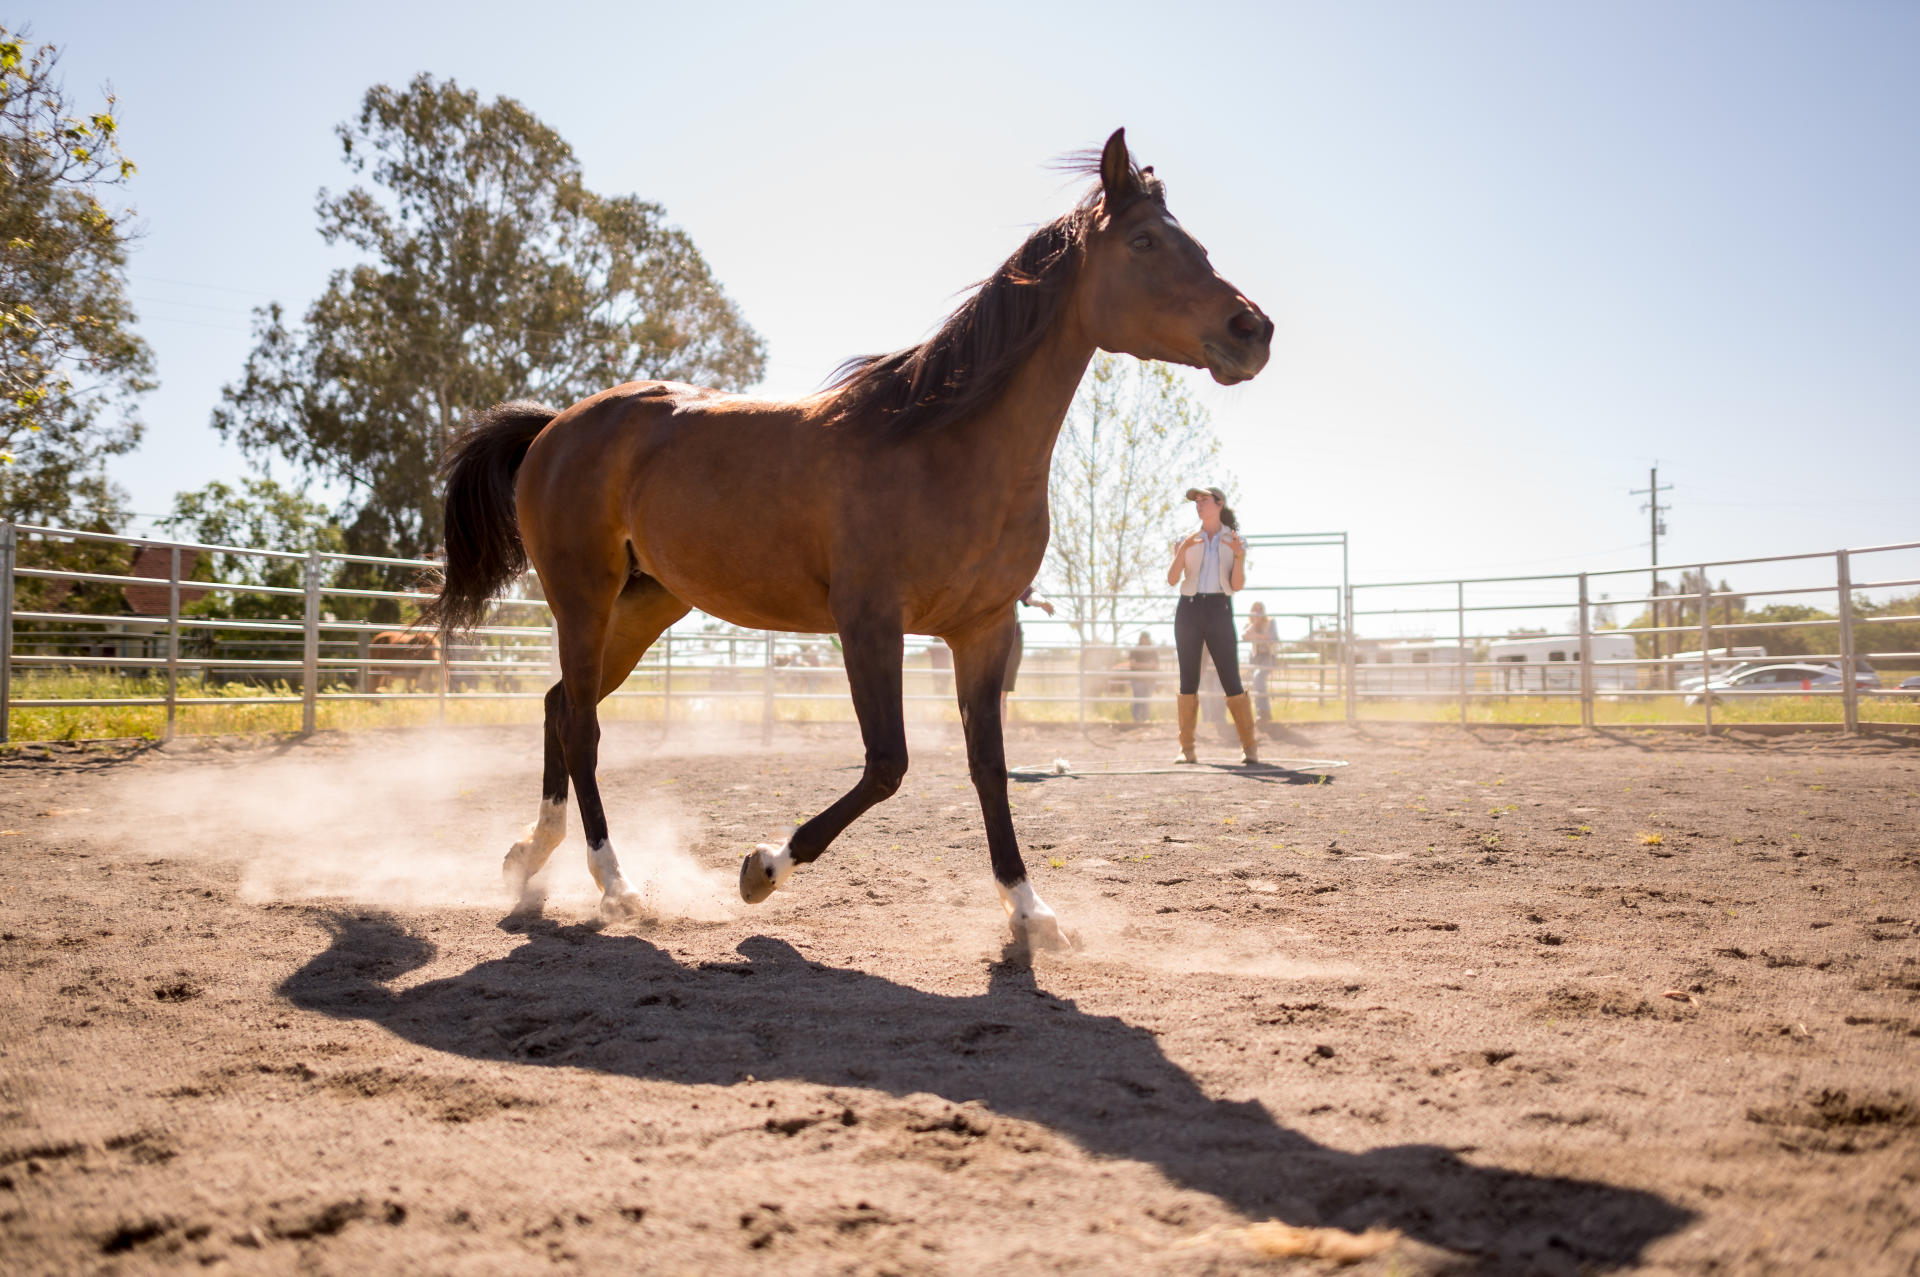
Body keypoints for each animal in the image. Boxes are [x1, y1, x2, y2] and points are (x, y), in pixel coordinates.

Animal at [435, 131, 1274, 944]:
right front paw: (763, 868)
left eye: (1191, 240)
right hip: (583, 597)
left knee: (557, 705)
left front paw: (1029, 910)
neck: (944, 443)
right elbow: (887, 765)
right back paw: (616, 885)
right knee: (582, 725)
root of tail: (555, 427)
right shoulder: (869, 622)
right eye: (1144, 241)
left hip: (648, 604)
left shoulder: (983, 630)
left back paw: (528, 858)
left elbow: (988, 767)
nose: (1254, 329)